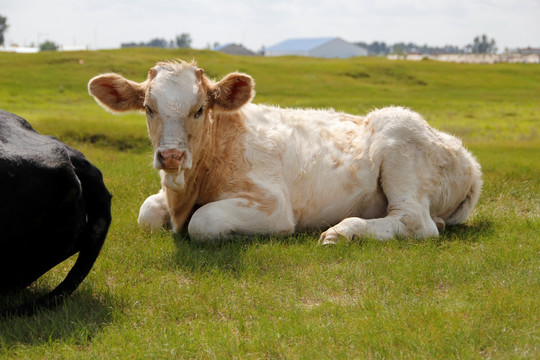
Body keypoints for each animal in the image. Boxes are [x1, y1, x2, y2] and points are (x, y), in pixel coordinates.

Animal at [87, 59, 480, 245]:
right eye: (148, 109)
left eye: (199, 110)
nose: (170, 157)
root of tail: (467, 158)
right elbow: (147, 212)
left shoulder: (273, 204)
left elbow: (204, 222)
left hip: (400, 145)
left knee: (414, 221)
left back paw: (342, 231)